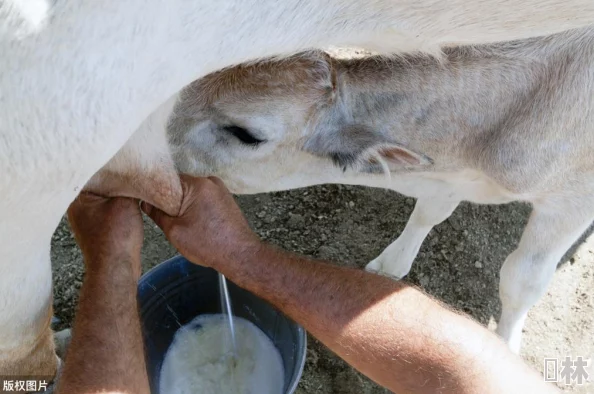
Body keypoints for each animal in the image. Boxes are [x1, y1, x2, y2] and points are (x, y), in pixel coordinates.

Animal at [3, 0, 592, 378]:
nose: (129, 160)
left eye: (246, 132)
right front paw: (389, 266)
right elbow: (430, 210)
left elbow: (521, 279)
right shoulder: (448, 175)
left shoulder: (570, 199)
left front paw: (506, 346)